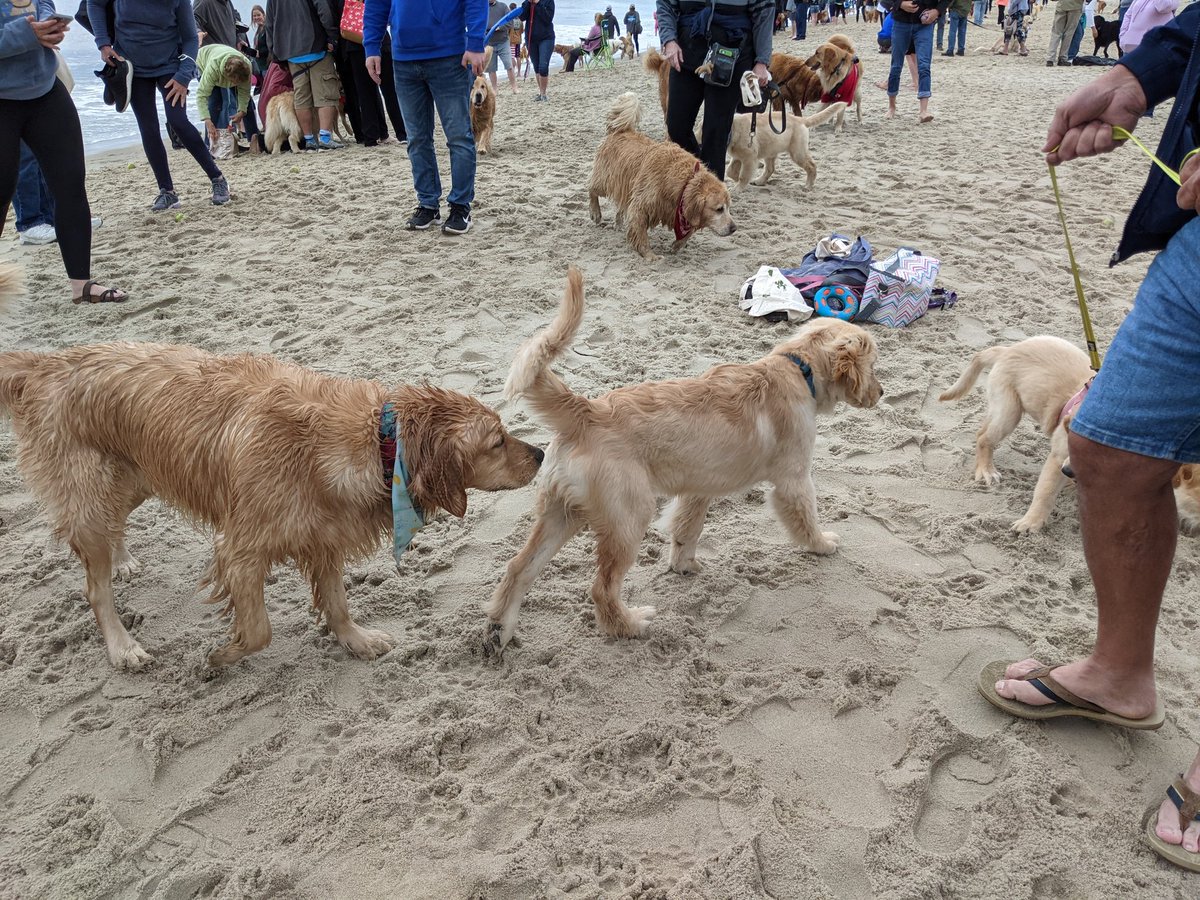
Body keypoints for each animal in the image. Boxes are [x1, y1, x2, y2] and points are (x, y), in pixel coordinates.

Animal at [0, 266, 540, 672]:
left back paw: (123, 559)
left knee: (112, 529)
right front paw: (222, 655)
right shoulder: (241, 549)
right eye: (497, 440)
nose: (539, 454)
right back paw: (122, 645)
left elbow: (337, 602)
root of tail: (46, 363)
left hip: (137, 476)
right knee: (95, 587)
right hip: (93, 487)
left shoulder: (323, 535)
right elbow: (259, 629)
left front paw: (356, 640)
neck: (374, 442)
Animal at [482, 267, 888, 657]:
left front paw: (683, 565)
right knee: (601, 589)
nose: (882, 392)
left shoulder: (698, 486)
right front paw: (821, 543)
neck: (797, 369)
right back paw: (631, 625)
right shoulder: (794, 479)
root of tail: (586, 411)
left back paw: (499, 632)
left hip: (561, 512)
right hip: (628, 517)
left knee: (517, 569)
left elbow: (686, 528)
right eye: (874, 366)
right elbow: (806, 516)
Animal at [585, 93, 734, 262]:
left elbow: (688, 231)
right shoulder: (642, 205)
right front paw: (650, 256)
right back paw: (595, 213)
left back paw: (618, 222)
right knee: (591, 188)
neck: (686, 180)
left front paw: (677, 245)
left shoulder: (678, 209)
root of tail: (620, 130)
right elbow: (641, 234)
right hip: (606, 179)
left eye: (728, 207)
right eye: (719, 209)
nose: (734, 228)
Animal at [936, 338, 1099, 535]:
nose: (1067, 471)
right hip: (1009, 411)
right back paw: (986, 470)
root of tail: (1007, 350)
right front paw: (1030, 523)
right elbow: (1045, 493)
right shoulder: (1058, 456)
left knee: (981, 431)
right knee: (984, 439)